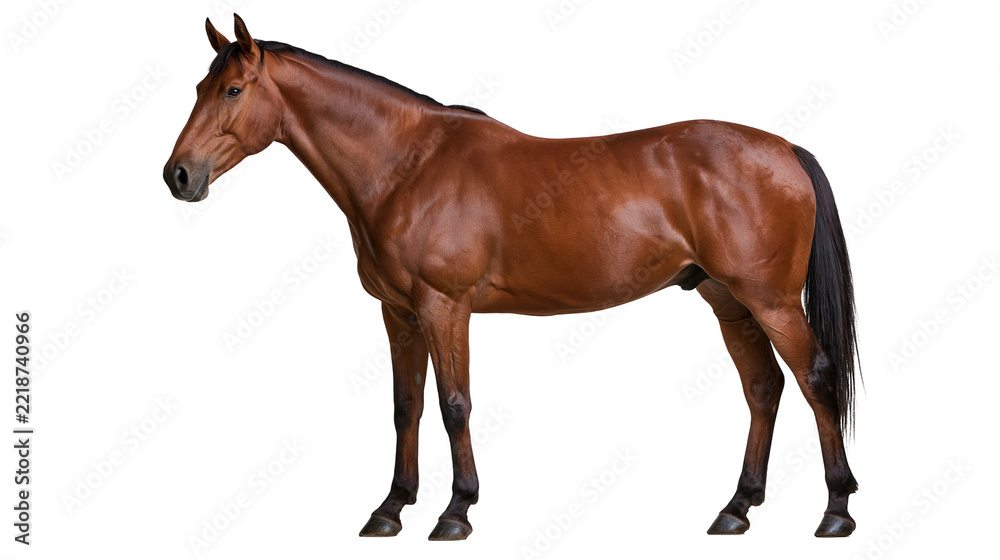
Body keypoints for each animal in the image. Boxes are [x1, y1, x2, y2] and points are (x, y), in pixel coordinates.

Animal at [164, 14, 860, 540]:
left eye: (232, 90)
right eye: (199, 86)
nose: (179, 176)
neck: (407, 166)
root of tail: (785, 150)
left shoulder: (444, 307)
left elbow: (454, 405)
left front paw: (455, 512)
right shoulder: (399, 312)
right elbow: (406, 406)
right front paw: (390, 509)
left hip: (771, 300)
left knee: (815, 378)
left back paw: (836, 510)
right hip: (728, 300)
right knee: (765, 388)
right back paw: (736, 509)